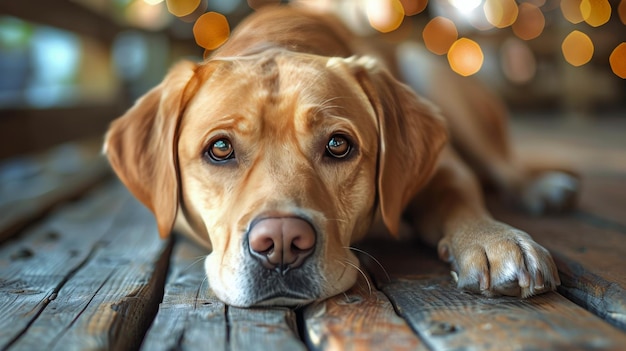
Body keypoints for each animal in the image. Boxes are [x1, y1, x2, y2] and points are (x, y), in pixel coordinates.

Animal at [102, 4, 576, 308]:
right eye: (219, 148)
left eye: (337, 144)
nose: (281, 243)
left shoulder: (446, 167)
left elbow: (458, 194)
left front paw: (495, 240)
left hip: (430, 71)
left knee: (504, 165)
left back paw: (542, 187)